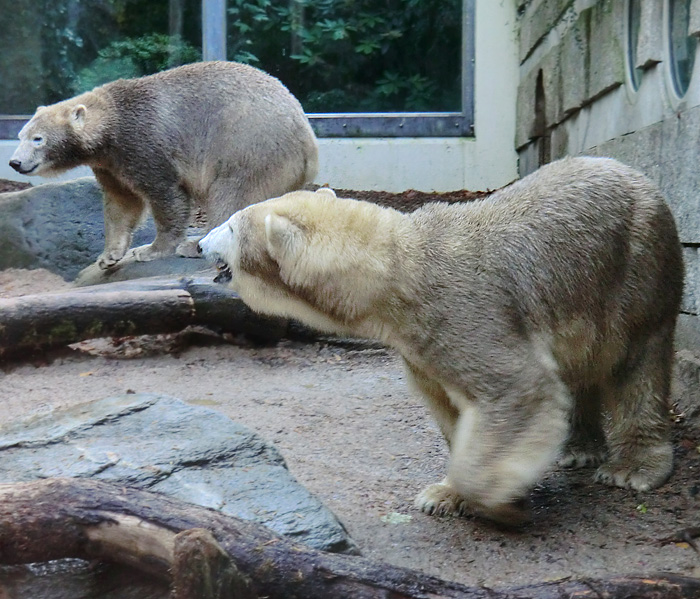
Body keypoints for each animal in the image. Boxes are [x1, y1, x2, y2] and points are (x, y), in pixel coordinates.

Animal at [9, 61, 318, 270]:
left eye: (38, 139)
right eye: (20, 135)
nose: (15, 162)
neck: (112, 122)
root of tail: (308, 141)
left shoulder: (142, 142)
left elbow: (165, 194)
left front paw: (150, 250)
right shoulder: (110, 163)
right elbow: (122, 202)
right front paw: (108, 255)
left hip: (248, 146)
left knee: (231, 195)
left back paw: (195, 245)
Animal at [197, 157, 684, 528]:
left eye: (231, 226)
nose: (199, 242)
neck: (400, 271)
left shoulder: (466, 314)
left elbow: (516, 390)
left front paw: (502, 505)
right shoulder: (419, 347)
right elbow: (450, 407)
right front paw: (445, 495)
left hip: (635, 268)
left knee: (638, 364)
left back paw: (632, 469)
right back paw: (578, 449)